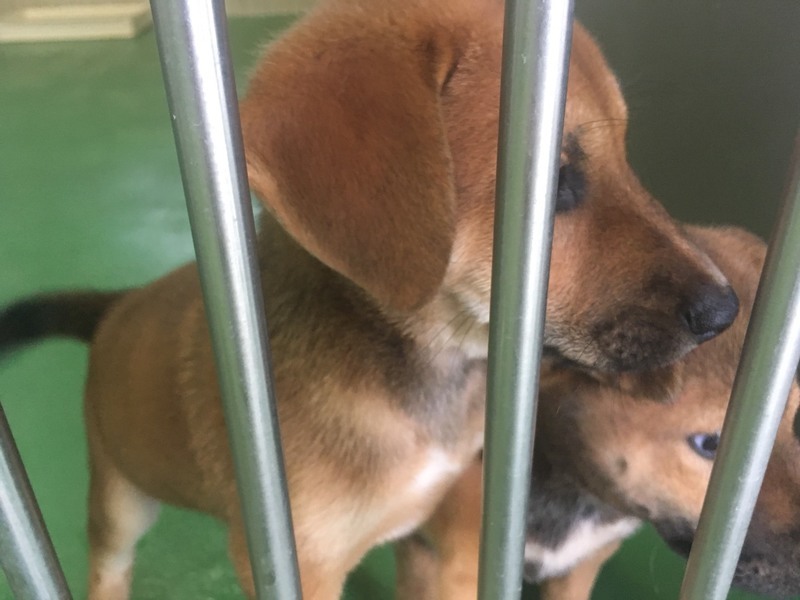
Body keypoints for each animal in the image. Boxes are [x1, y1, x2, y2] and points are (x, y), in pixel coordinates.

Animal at [0, 1, 740, 598]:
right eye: (555, 182)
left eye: (626, 154)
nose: (726, 311)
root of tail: (115, 308)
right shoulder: (298, 562)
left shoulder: (431, 536)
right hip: (121, 497)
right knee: (109, 564)